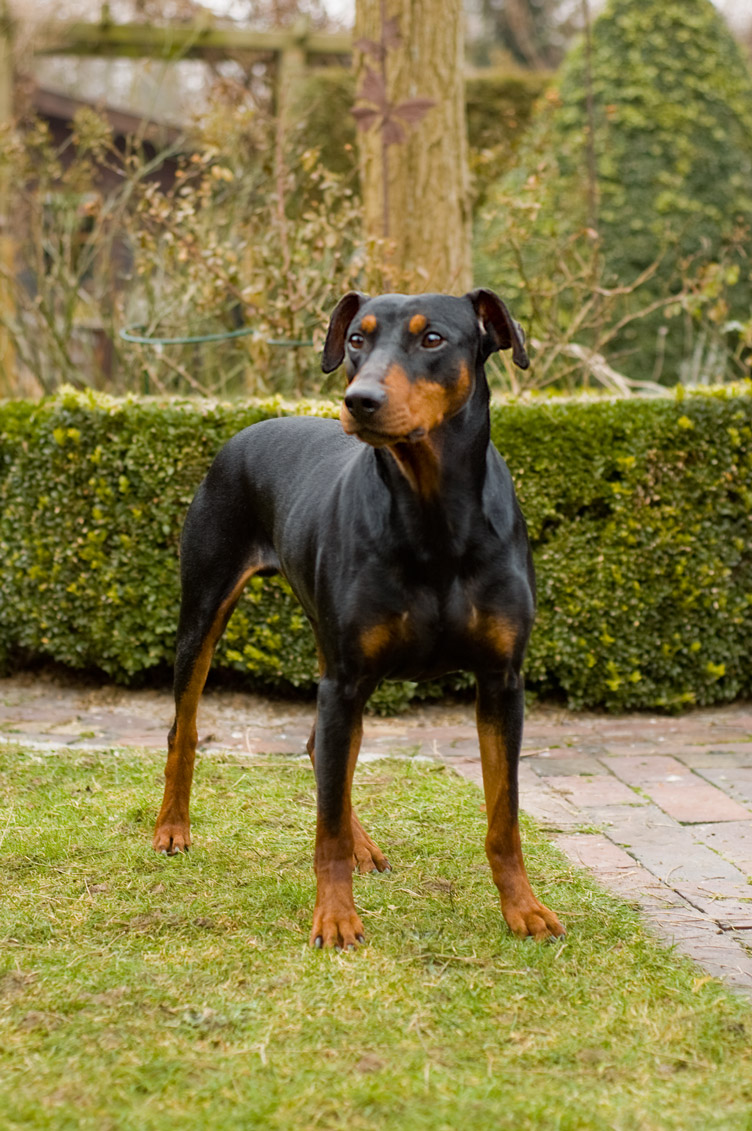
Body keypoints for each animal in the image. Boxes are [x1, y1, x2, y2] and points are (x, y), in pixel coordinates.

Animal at [152, 289, 563, 945]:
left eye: (432, 339)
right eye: (355, 340)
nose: (360, 400)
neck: (433, 515)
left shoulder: (502, 682)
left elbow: (505, 815)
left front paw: (524, 909)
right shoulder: (345, 680)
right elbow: (325, 829)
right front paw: (336, 918)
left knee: (323, 751)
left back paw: (363, 844)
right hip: (208, 612)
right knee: (185, 728)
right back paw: (172, 828)